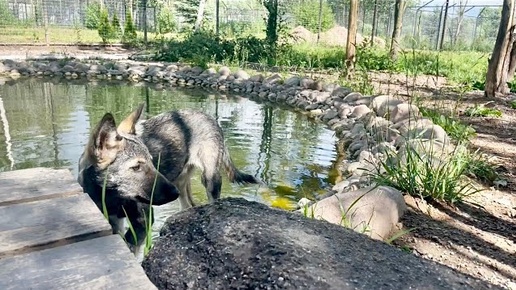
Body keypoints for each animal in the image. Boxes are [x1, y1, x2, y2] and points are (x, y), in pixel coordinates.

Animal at [78, 103, 260, 253]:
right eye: (136, 167)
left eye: (152, 162)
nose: (173, 193)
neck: (111, 196)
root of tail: (209, 117)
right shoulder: (115, 222)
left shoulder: (144, 220)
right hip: (181, 184)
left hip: (208, 180)